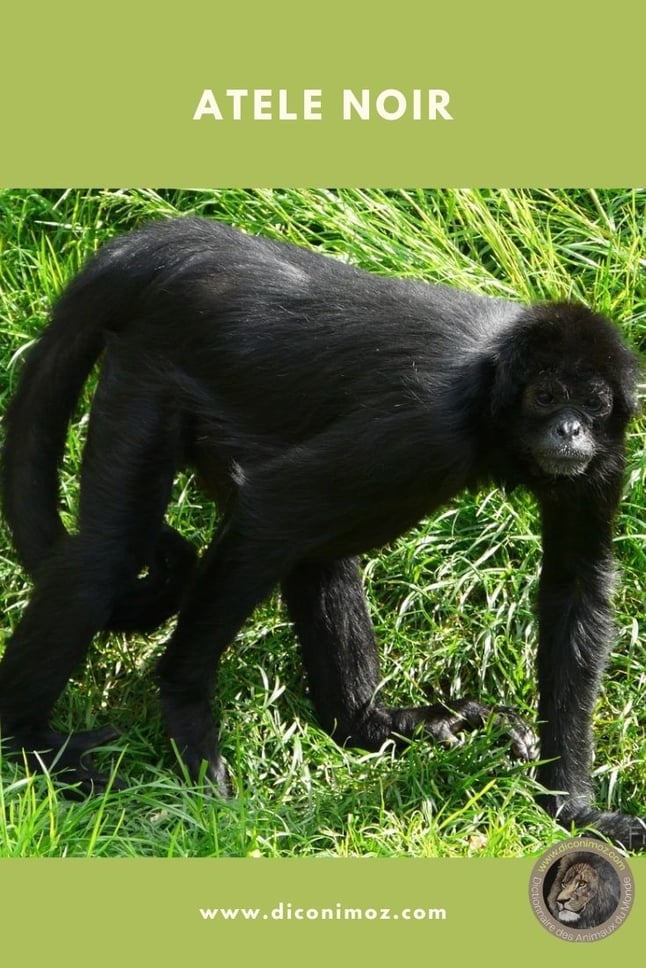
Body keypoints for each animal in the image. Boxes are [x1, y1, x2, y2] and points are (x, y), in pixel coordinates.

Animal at [0, 216, 644, 847]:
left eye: (591, 404)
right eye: (546, 396)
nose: (569, 431)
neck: (491, 398)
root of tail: (172, 247)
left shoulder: (605, 459)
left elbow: (574, 591)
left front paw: (574, 809)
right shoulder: (426, 426)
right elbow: (272, 507)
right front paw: (184, 711)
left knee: (319, 553)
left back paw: (371, 725)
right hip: (147, 377)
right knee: (109, 556)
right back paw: (27, 739)